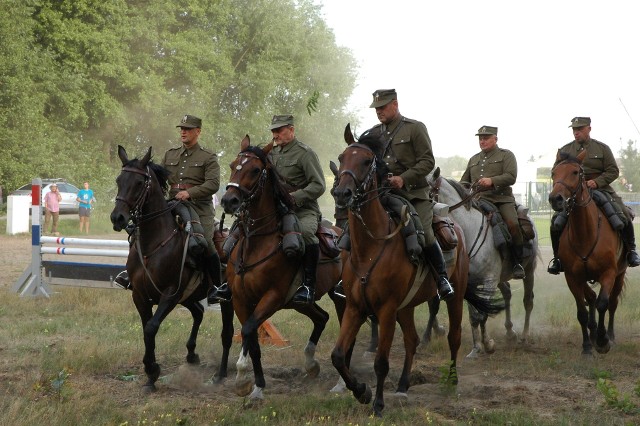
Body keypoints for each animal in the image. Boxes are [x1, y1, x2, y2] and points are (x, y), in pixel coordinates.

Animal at [110, 146, 235, 392]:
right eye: (119, 180)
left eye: (139, 182)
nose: (117, 217)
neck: (154, 245)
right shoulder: (141, 296)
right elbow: (146, 329)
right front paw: (150, 376)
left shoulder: (170, 294)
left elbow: (151, 327)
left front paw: (153, 370)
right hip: (189, 296)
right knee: (198, 312)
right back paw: (192, 354)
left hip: (226, 300)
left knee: (227, 334)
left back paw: (221, 374)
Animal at [219, 136, 344, 400]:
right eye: (233, 164)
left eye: (255, 170)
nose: (228, 201)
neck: (257, 242)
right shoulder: (241, 299)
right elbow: (251, 338)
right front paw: (250, 383)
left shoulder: (272, 297)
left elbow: (249, 331)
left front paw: (249, 382)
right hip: (300, 303)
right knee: (322, 317)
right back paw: (311, 364)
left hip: (342, 297)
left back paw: (341, 382)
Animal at [330, 124, 504, 416]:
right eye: (342, 158)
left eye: (366, 161)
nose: (342, 194)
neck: (371, 246)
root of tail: (455, 226)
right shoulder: (355, 307)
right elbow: (338, 355)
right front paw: (361, 391)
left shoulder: (386, 310)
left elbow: (381, 362)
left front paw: (378, 404)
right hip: (406, 307)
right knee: (411, 340)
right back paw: (402, 385)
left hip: (453, 298)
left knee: (454, 336)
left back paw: (451, 381)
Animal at [430, 168, 540, 358]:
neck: (470, 231)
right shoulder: (470, 283)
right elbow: (474, 315)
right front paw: (477, 348)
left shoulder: (489, 281)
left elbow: (483, 313)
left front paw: (487, 344)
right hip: (502, 276)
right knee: (507, 293)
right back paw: (510, 332)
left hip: (529, 271)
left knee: (528, 301)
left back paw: (524, 336)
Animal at [548, 151, 628, 356]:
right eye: (553, 173)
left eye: (576, 172)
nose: (555, 199)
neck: (585, 233)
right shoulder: (572, 277)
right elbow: (582, 312)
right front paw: (587, 347)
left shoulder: (608, 273)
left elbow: (603, 303)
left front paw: (603, 341)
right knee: (590, 297)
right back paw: (592, 334)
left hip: (620, 274)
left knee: (612, 303)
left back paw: (610, 335)